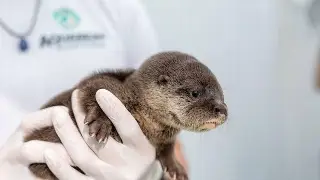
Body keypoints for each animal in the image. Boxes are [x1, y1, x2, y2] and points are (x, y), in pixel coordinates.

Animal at [23, 51, 228, 180]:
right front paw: (101, 123)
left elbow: (168, 148)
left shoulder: (166, 137)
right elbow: (95, 89)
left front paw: (176, 168)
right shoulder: (105, 85)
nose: (222, 109)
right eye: (195, 93)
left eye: (222, 96)